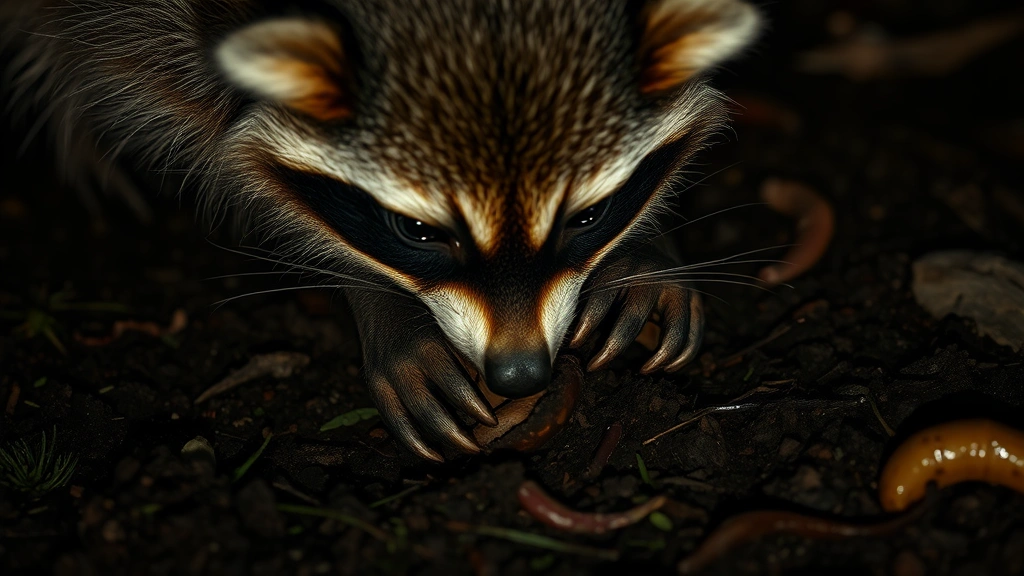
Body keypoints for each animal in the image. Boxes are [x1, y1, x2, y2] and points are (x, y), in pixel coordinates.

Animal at [1, 0, 761, 460]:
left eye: (587, 216)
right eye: (415, 229)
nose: (519, 374)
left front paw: (641, 248)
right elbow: (228, 150)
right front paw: (383, 307)